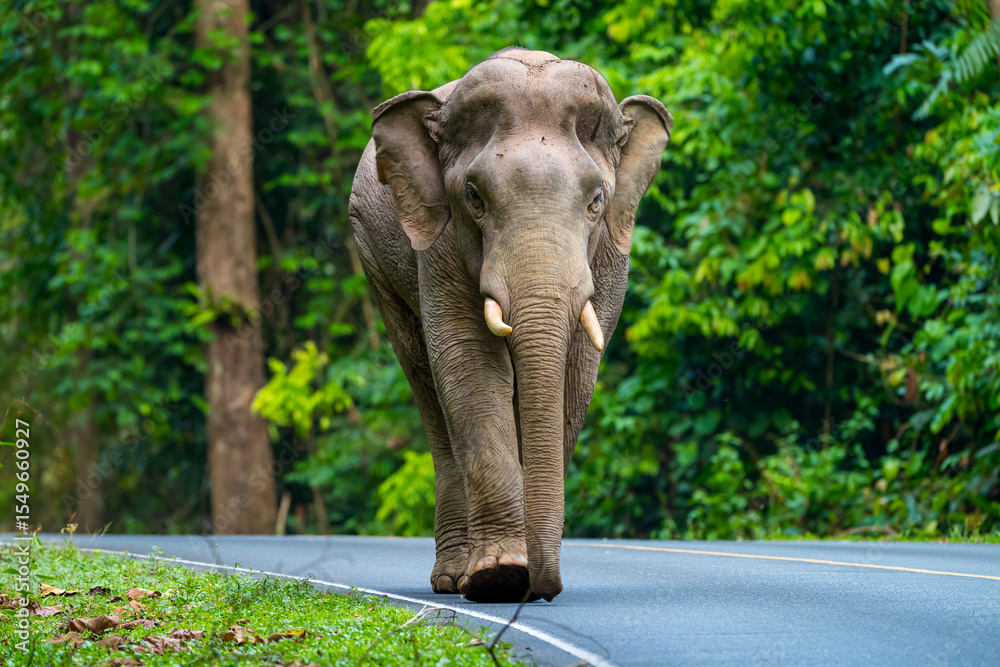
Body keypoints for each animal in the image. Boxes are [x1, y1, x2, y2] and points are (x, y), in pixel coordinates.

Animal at [349, 47, 672, 602]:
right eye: (474, 196)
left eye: (597, 200)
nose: (542, 590)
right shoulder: (438, 242)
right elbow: (467, 361)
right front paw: (498, 575)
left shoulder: (611, 254)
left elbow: (575, 373)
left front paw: (514, 572)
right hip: (372, 255)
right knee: (423, 379)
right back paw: (451, 579)